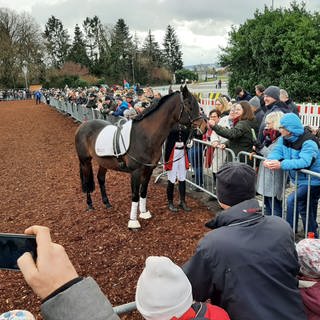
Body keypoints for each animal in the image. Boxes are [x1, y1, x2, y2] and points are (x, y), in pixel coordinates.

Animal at [74, 85, 208, 228]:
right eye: (189, 104)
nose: (204, 127)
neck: (144, 136)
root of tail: (82, 126)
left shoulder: (148, 170)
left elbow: (143, 191)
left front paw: (144, 213)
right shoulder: (136, 172)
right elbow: (135, 195)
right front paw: (133, 222)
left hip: (103, 163)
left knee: (100, 179)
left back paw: (107, 203)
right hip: (85, 161)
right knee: (87, 181)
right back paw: (90, 205)